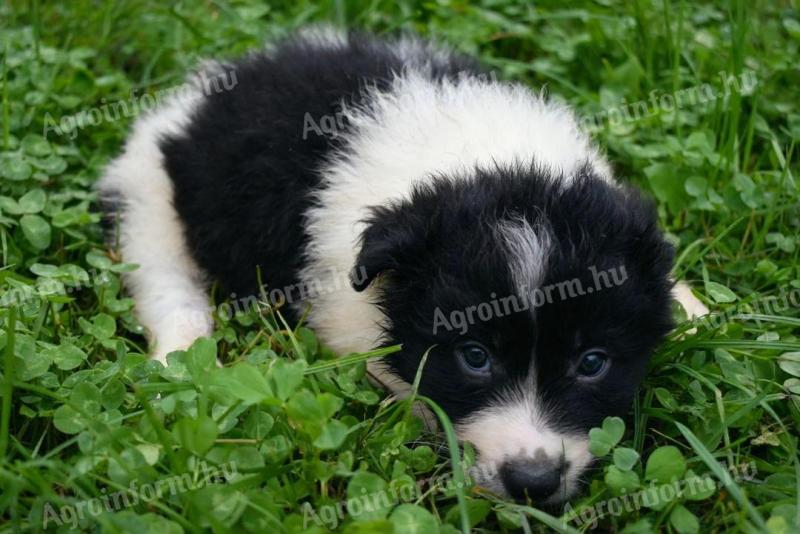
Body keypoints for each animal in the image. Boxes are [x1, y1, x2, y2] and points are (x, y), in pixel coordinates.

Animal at [98, 28, 708, 506]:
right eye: (475, 357)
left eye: (592, 363)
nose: (532, 481)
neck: (487, 164)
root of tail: (192, 101)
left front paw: (696, 310)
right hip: (151, 201)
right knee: (163, 278)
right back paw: (180, 355)